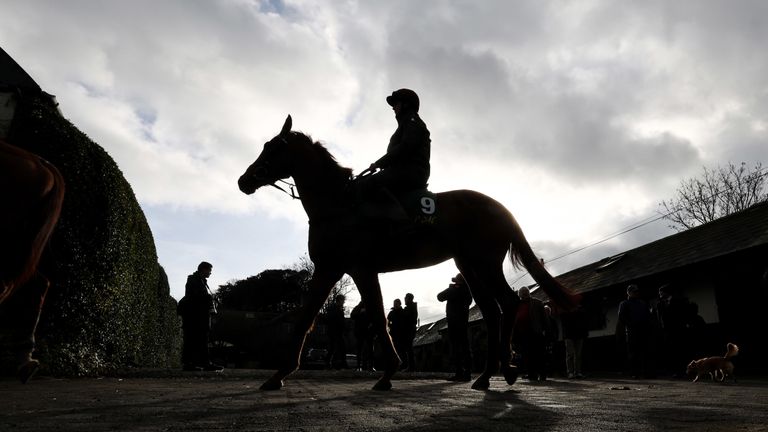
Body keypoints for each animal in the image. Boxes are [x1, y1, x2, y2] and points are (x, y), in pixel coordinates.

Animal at [238, 115, 577, 391]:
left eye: (273, 147)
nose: (244, 180)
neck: (340, 206)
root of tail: (501, 207)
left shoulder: (361, 269)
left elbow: (377, 317)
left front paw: (389, 371)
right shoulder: (328, 269)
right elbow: (305, 318)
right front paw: (279, 374)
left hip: (485, 263)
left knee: (507, 304)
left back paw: (504, 369)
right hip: (469, 266)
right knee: (492, 310)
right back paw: (489, 374)